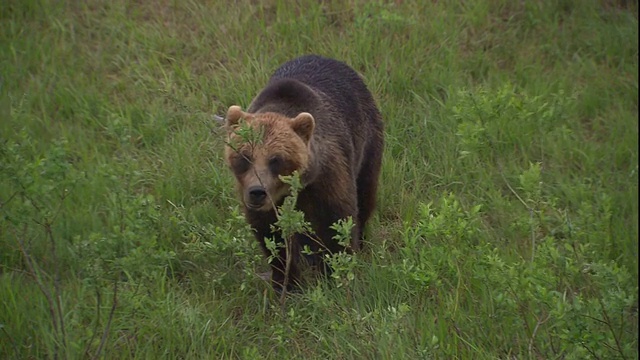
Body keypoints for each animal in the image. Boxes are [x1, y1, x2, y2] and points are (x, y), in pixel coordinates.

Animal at [225, 54, 384, 292]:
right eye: (245, 156)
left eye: (276, 159)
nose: (257, 192)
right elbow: (271, 235)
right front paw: (285, 282)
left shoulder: (327, 173)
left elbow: (337, 220)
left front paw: (335, 275)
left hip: (369, 142)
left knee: (365, 195)